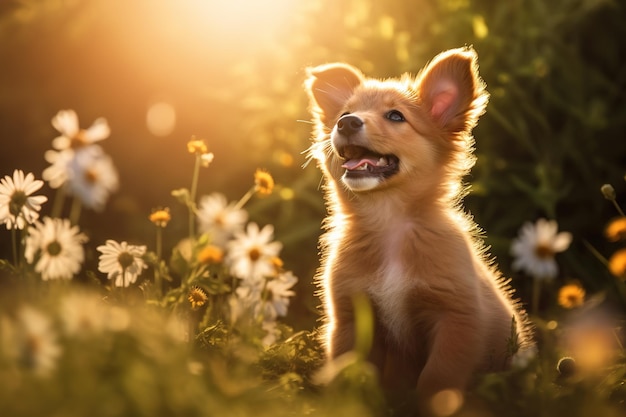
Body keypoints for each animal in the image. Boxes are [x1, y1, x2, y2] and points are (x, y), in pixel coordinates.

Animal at [302, 47, 532, 402]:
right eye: (345, 112)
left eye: (396, 117)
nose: (346, 122)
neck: (390, 222)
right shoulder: (350, 319)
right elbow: (347, 372)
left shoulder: (455, 320)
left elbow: (437, 381)